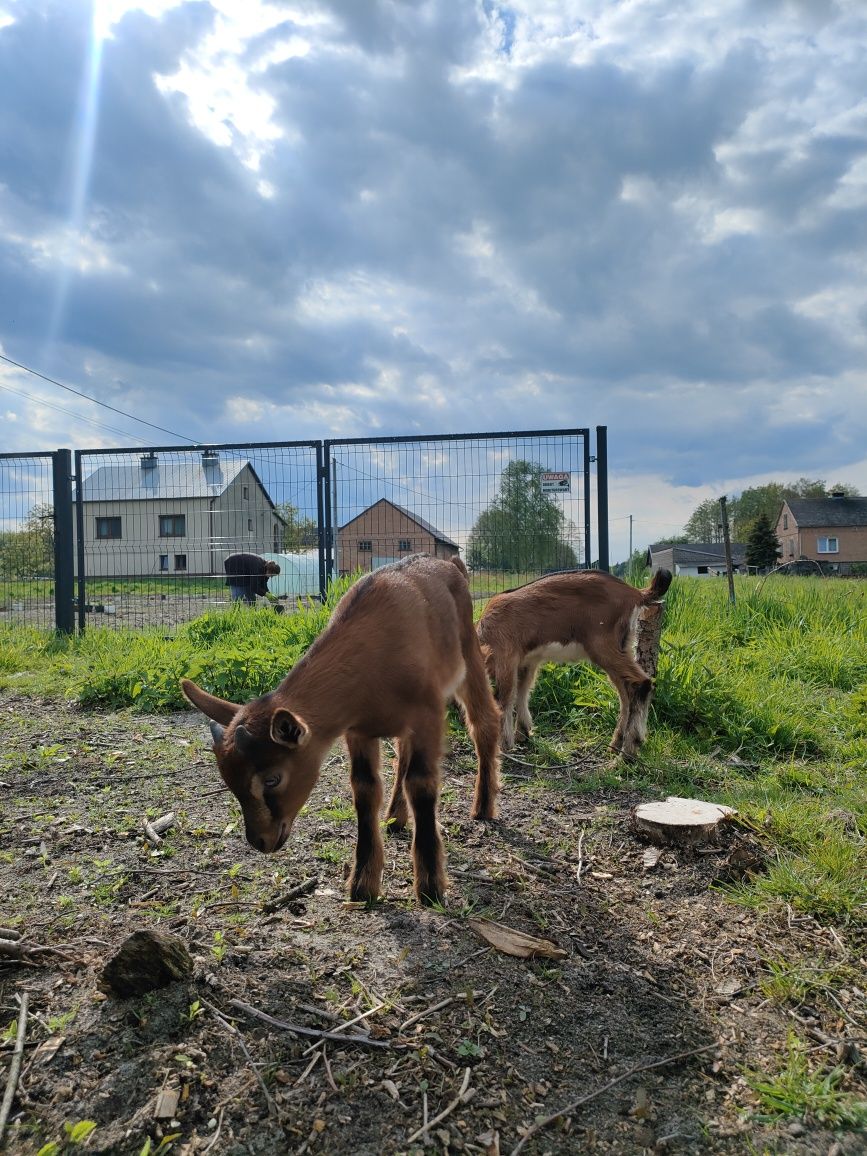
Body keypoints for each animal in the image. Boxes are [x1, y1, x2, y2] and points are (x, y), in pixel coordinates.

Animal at [181, 554, 501, 906]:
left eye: (272, 779)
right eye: (228, 781)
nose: (260, 841)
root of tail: (451, 563)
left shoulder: (427, 714)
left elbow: (421, 783)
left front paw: (430, 886)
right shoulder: (356, 730)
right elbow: (364, 788)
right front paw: (363, 884)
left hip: (468, 654)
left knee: (485, 722)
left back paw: (483, 807)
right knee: (401, 757)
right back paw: (394, 818)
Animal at [478, 568, 675, 758]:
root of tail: (636, 593)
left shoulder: (505, 657)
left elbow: (504, 699)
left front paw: (504, 745)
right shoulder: (527, 662)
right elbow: (522, 693)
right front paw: (522, 734)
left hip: (603, 647)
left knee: (641, 683)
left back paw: (629, 750)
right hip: (622, 646)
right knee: (626, 693)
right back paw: (616, 744)